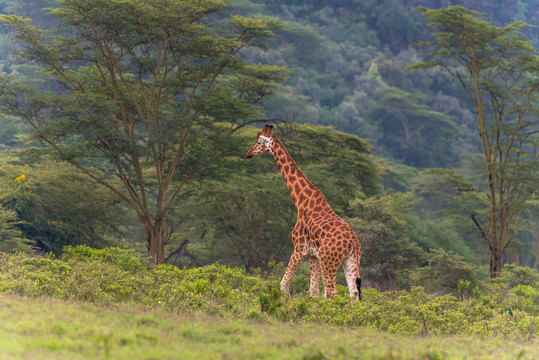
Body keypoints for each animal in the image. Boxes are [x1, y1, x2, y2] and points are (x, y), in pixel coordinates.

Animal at [246, 125, 362, 300]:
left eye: (259, 141)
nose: (248, 153)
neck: (302, 201)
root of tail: (353, 242)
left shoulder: (299, 248)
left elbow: (283, 284)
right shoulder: (313, 255)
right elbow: (312, 291)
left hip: (329, 261)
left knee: (331, 291)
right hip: (352, 261)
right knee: (353, 293)